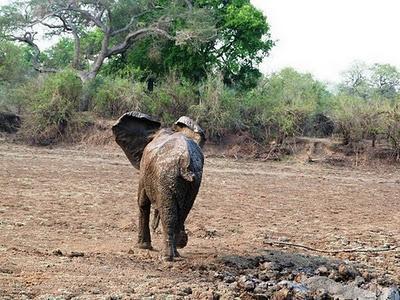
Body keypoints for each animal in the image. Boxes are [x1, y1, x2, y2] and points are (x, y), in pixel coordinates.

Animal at [112, 111, 206, 262]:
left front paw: (143, 247)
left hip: (165, 176)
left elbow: (142, 201)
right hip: (194, 181)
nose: (183, 241)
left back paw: (166, 257)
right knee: (182, 212)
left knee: (169, 214)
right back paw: (176, 253)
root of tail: (185, 160)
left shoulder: (144, 168)